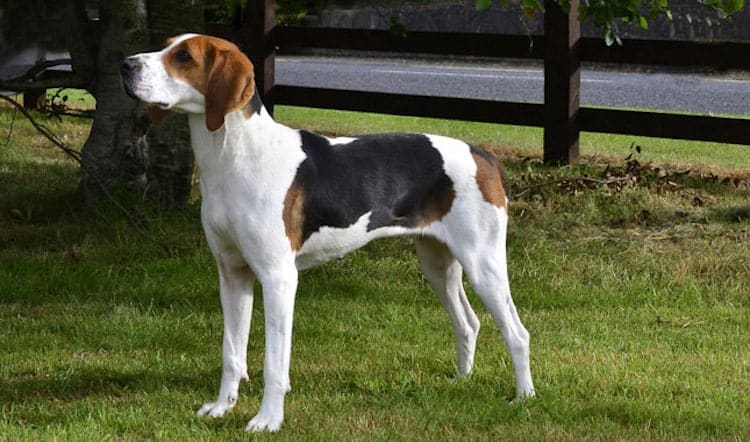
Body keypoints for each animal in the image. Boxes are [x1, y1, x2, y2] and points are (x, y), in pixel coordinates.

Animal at [122, 33, 536, 432]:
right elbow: (231, 353)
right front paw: (224, 407)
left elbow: (274, 362)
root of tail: (482, 154)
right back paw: (461, 380)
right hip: (438, 265)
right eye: (166, 46)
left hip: (484, 265)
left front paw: (267, 420)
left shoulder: (278, 278)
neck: (233, 155)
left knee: (517, 333)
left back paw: (524, 398)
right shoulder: (232, 274)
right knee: (468, 323)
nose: (125, 64)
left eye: (184, 57)